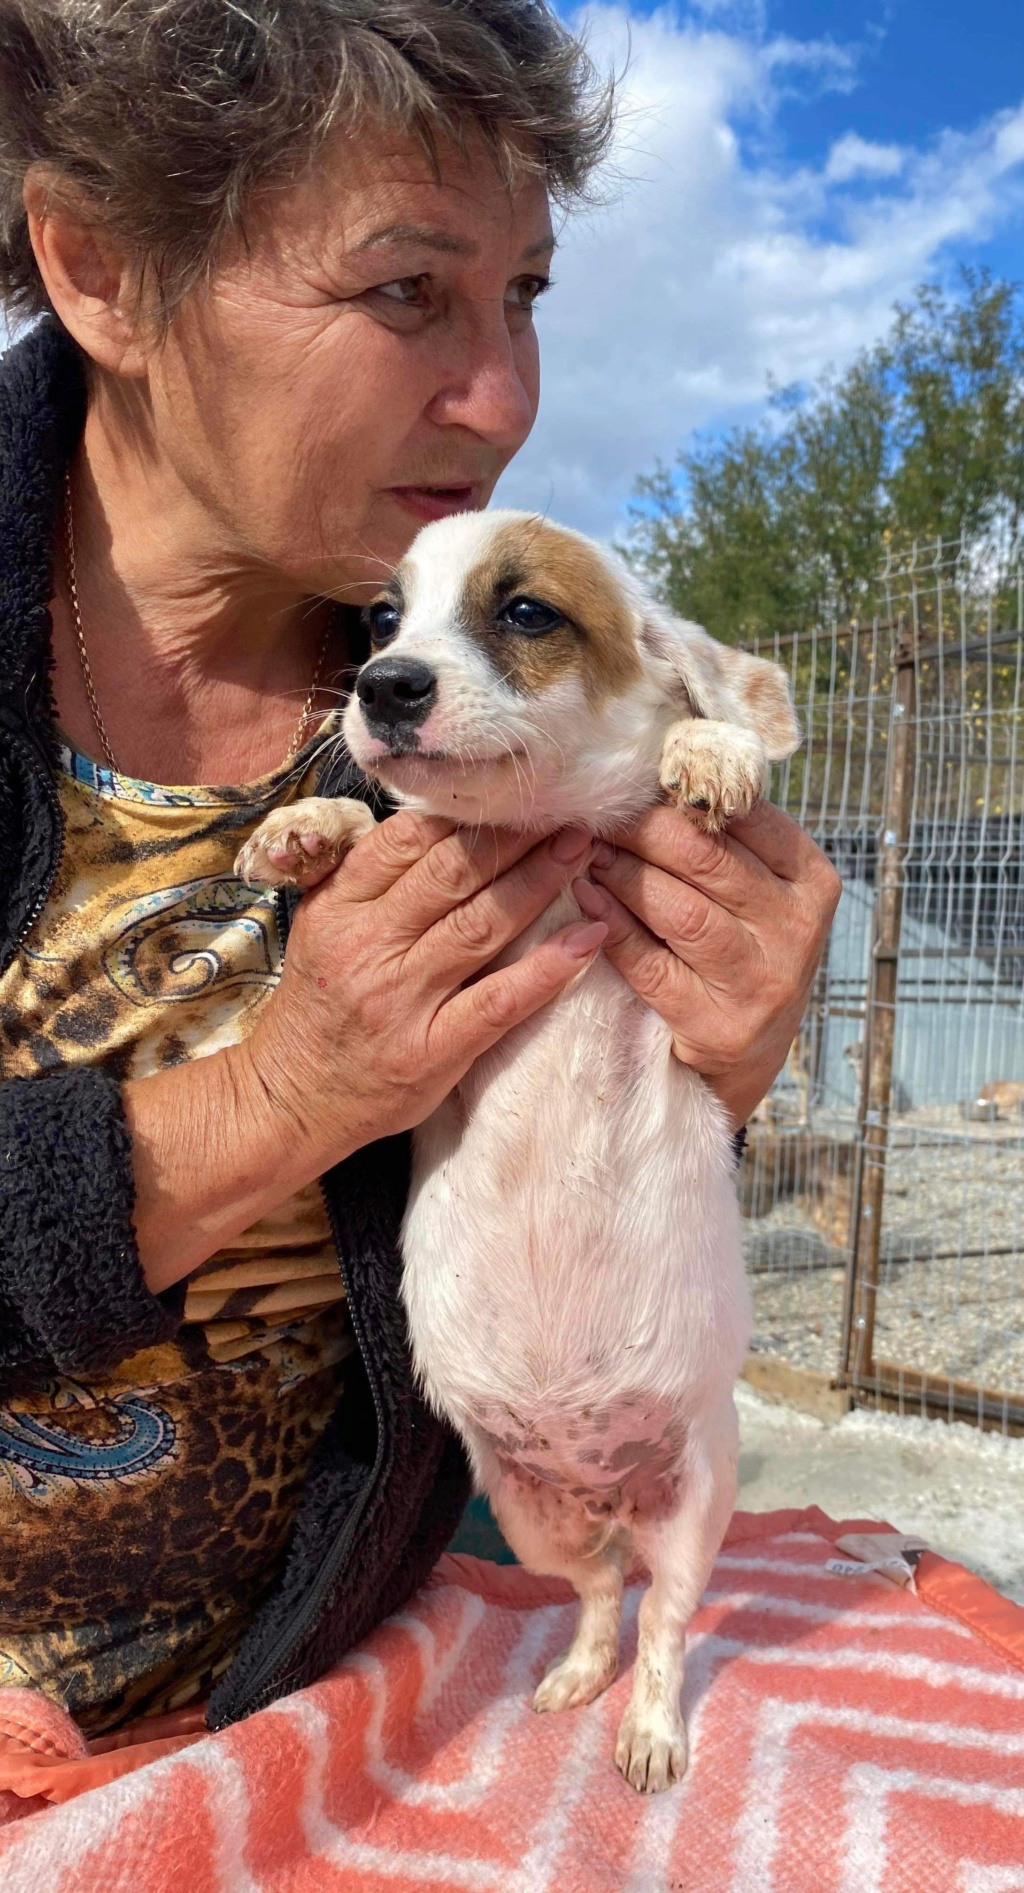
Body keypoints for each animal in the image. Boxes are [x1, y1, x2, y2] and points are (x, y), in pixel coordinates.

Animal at [239, 507, 798, 1786]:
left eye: (528, 611)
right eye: (384, 619)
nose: (382, 686)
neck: (544, 850)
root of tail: (609, 1492)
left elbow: (704, 726)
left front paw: (712, 750)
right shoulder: (410, 1081)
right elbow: (379, 823)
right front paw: (306, 825)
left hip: (695, 1502)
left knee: (664, 1620)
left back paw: (647, 1731)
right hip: (534, 1515)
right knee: (597, 1594)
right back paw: (581, 1674)